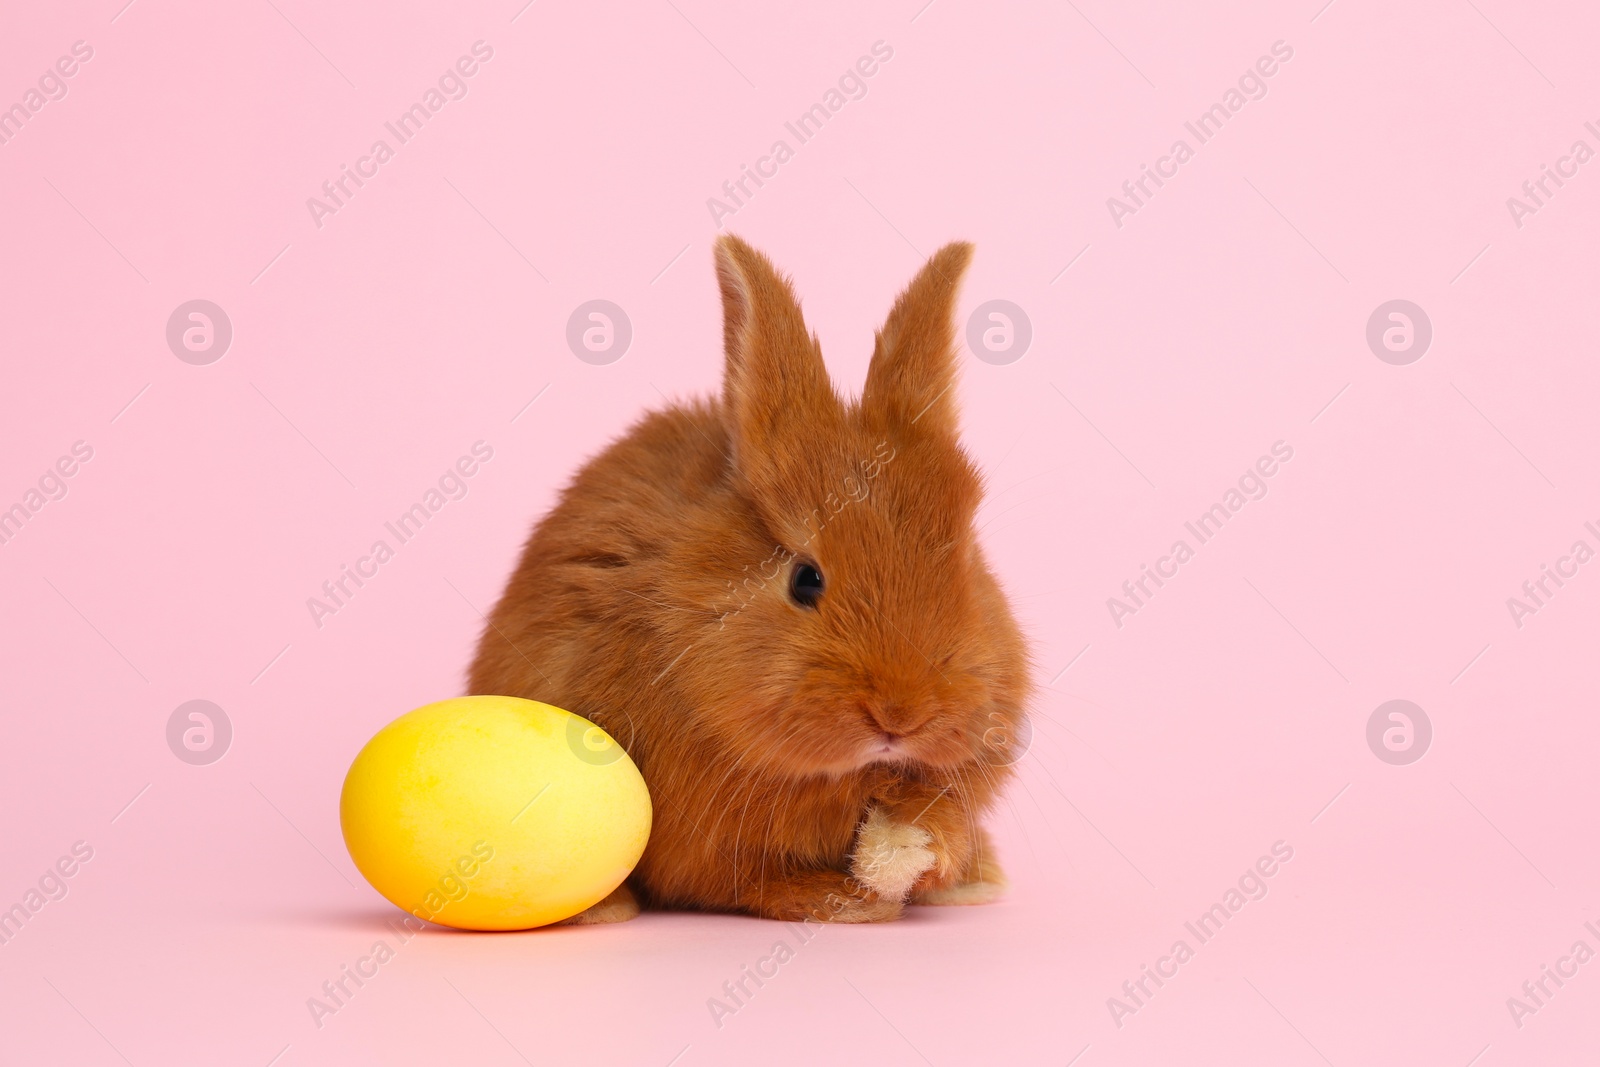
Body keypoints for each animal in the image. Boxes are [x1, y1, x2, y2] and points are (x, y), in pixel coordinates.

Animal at [467, 238, 1030, 921]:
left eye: (968, 564)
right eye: (805, 581)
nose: (901, 716)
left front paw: (914, 854)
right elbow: (749, 881)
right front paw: (848, 901)